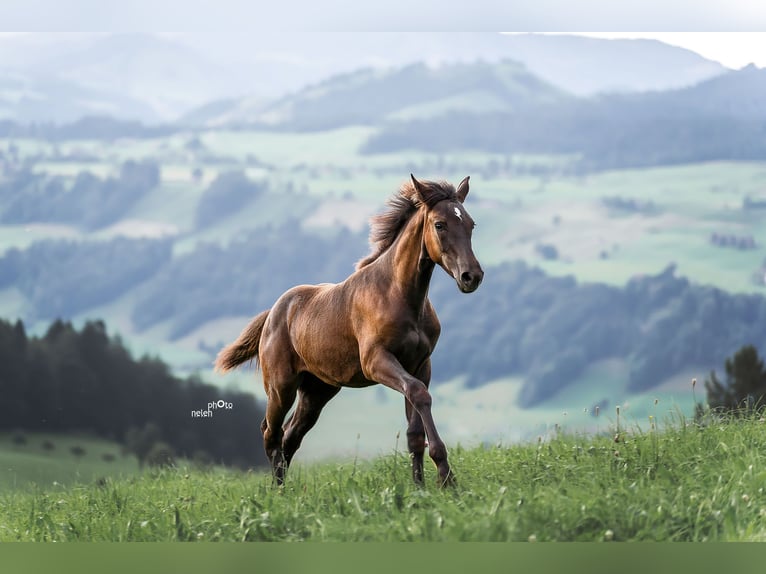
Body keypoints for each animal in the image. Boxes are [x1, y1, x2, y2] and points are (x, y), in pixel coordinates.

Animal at [213, 174, 484, 486]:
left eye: (470, 223)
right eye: (440, 224)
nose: (472, 276)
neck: (399, 295)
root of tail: (272, 313)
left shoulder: (419, 365)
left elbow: (415, 429)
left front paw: (422, 487)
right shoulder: (375, 361)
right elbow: (420, 395)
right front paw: (447, 478)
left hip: (317, 390)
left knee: (291, 436)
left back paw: (285, 489)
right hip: (281, 386)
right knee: (271, 432)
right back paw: (277, 491)